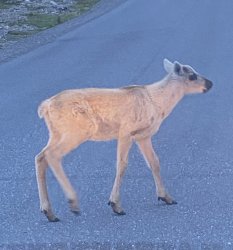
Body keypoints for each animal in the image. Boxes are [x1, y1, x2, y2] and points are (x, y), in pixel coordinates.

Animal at [35, 58, 213, 221]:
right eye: (192, 75)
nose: (210, 83)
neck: (158, 104)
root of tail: (44, 107)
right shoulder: (126, 131)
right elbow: (122, 165)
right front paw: (115, 204)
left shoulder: (143, 136)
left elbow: (154, 162)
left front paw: (166, 197)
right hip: (77, 131)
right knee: (52, 155)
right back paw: (72, 203)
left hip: (56, 133)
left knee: (40, 156)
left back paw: (49, 212)